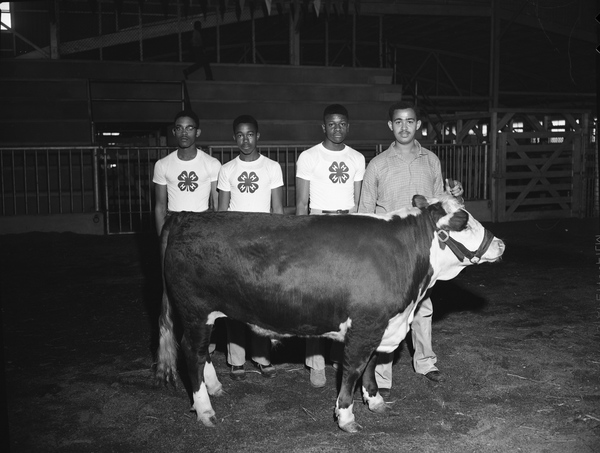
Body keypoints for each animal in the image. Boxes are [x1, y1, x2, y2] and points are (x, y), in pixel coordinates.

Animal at [152, 193, 504, 430]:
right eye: (464, 222)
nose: (500, 244)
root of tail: (185, 216)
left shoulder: (380, 325)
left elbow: (370, 365)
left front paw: (375, 401)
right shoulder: (365, 325)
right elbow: (353, 368)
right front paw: (346, 417)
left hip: (206, 314)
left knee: (202, 353)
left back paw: (214, 388)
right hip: (195, 310)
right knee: (192, 352)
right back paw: (205, 409)